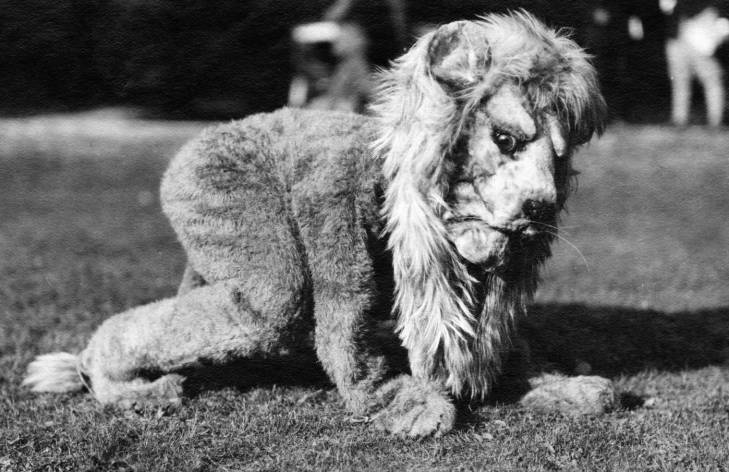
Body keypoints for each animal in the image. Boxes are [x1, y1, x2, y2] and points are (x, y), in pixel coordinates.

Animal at [24, 12, 614, 437]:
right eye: (506, 139)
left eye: (561, 160)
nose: (542, 206)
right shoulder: (331, 199)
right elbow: (343, 332)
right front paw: (407, 403)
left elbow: (497, 343)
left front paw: (557, 386)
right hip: (215, 194)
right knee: (270, 301)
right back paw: (112, 376)